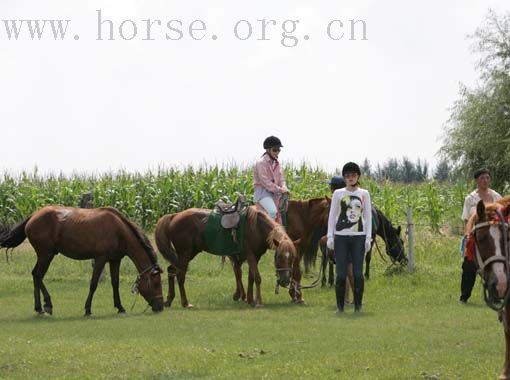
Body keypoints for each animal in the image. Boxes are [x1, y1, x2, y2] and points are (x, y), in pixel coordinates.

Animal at [0, 206, 163, 316]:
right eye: (156, 283)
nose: (160, 306)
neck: (119, 231)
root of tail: (33, 215)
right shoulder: (100, 259)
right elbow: (93, 284)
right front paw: (88, 309)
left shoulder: (115, 260)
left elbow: (115, 283)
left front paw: (120, 307)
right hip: (45, 255)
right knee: (38, 275)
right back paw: (46, 305)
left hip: (46, 255)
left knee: (35, 275)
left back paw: (39, 307)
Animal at [154, 205, 294, 308]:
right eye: (279, 257)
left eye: (291, 258)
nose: (285, 280)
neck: (256, 227)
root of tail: (174, 216)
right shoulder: (250, 255)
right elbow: (257, 278)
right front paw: (258, 302)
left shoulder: (255, 256)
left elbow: (251, 278)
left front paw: (250, 300)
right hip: (185, 254)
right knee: (180, 275)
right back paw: (185, 303)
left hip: (187, 254)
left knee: (172, 270)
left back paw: (169, 300)